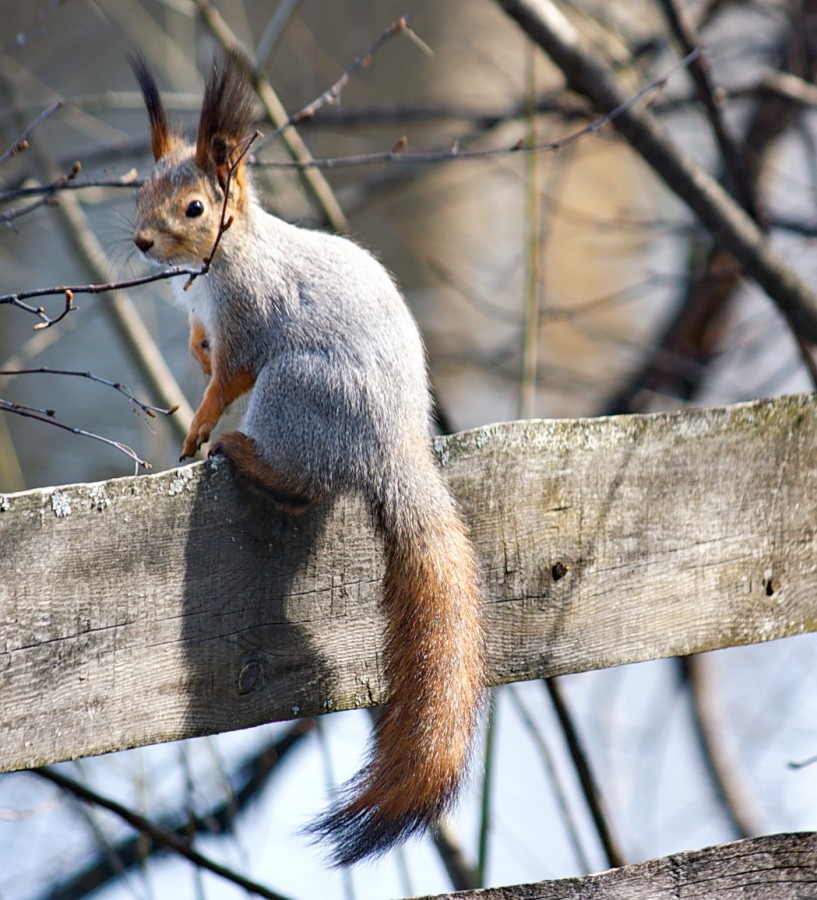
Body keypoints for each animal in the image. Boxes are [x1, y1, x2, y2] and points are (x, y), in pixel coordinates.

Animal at [128, 54, 484, 864]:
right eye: (140, 189)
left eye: (194, 207)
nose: (141, 243)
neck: (224, 264)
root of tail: (394, 449)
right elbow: (205, 353)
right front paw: (194, 358)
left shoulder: (251, 321)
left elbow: (229, 376)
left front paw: (198, 425)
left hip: (294, 395)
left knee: (299, 484)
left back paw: (239, 452)